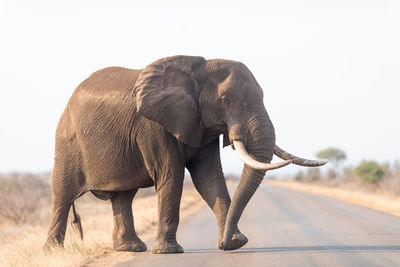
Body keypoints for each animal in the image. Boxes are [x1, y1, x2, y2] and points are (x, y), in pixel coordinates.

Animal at [43, 55, 326, 254]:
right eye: (225, 100)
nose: (222, 245)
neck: (198, 70)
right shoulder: (154, 126)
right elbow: (172, 176)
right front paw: (169, 252)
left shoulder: (200, 123)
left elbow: (208, 177)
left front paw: (236, 243)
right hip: (67, 143)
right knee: (63, 195)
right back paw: (52, 253)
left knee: (124, 196)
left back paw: (131, 248)